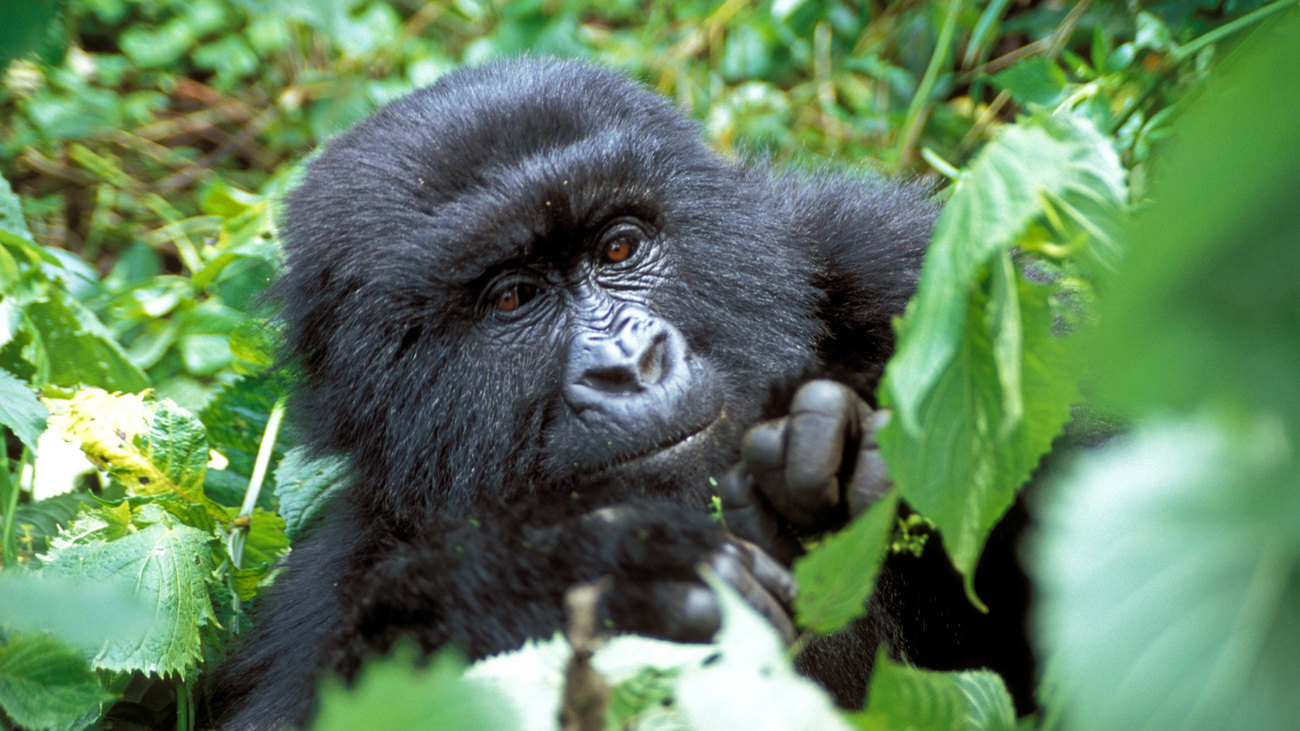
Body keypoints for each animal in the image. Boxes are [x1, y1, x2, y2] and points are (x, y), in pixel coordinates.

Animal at [208, 58, 951, 728]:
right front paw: (562, 583)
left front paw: (837, 455)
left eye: (619, 249)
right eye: (513, 297)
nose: (630, 366)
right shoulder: (326, 597)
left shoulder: (893, 261)